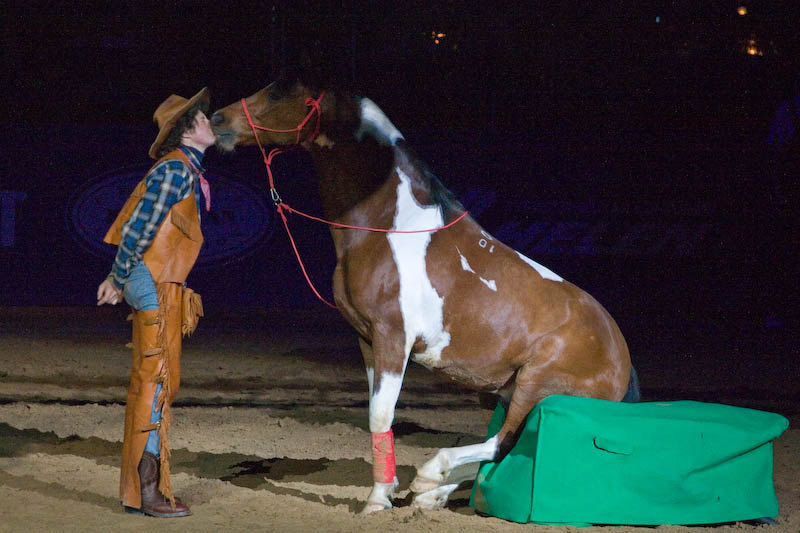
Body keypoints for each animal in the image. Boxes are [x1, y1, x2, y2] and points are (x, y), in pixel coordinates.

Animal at [209, 81, 636, 512]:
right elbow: (378, 416)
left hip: (536, 385)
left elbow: (380, 416)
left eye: (279, 93)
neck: (389, 227)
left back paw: (432, 476)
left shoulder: (393, 338)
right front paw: (388, 493)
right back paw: (433, 493)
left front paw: (376, 501)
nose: (217, 120)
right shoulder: (368, 341)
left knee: (504, 442)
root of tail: (621, 355)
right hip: (507, 391)